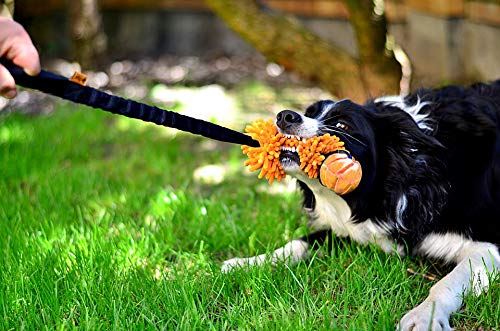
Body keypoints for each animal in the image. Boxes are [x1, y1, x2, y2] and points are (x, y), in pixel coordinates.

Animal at [223, 81, 500, 331]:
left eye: (342, 126)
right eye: (310, 112)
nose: (284, 116)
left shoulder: (488, 247)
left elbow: (445, 283)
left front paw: (424, 317)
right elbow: (299, 242)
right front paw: (246, 263)